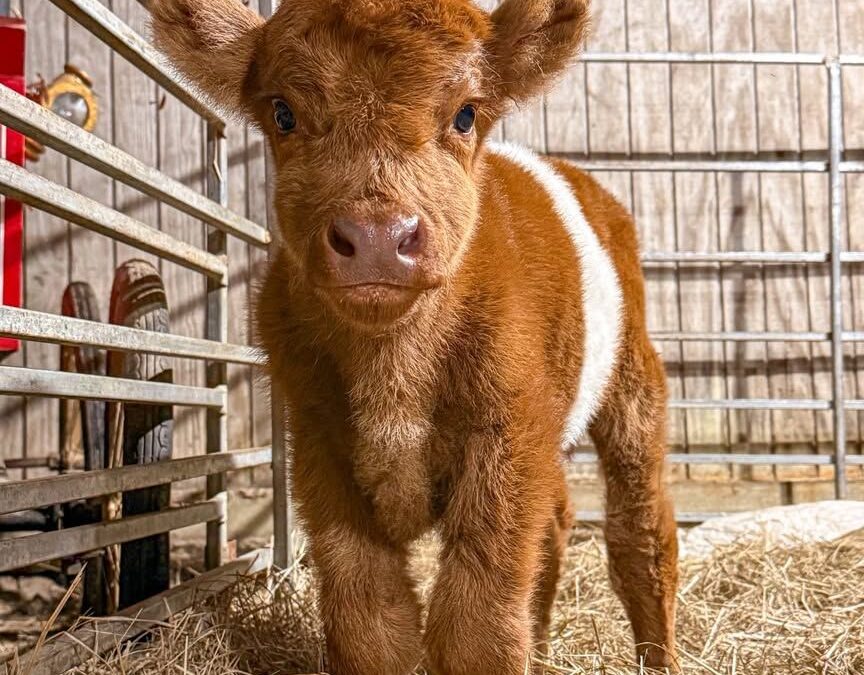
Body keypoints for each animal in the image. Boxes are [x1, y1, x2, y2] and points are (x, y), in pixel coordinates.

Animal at [150, 0, 679, 672]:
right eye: (283, 113)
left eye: (466, 113)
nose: (378, 236)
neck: (393, 370)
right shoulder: (318, 443)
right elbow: (370, 623)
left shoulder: (510, 431)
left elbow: (476, 627)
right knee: (558, 521)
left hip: (632, 377)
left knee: (642, 534)